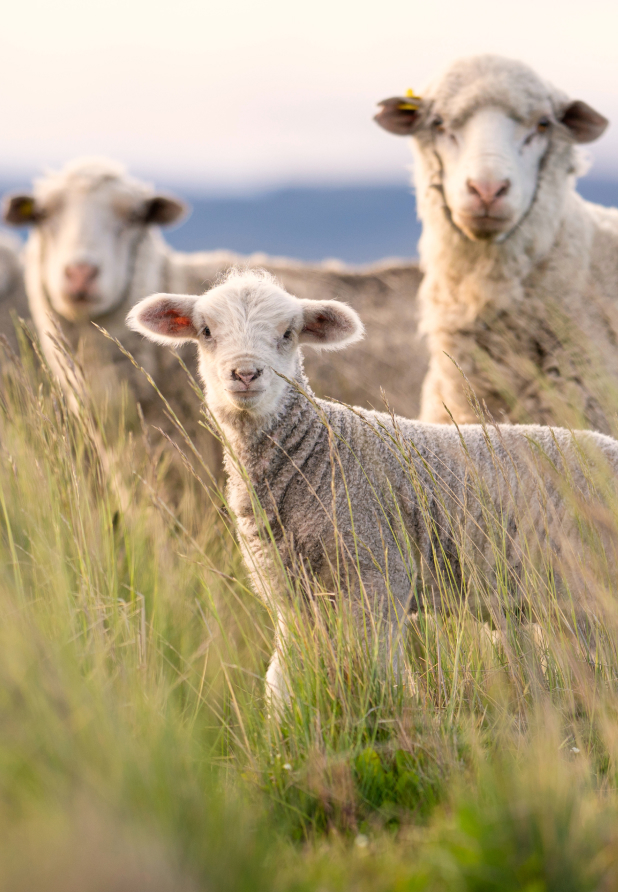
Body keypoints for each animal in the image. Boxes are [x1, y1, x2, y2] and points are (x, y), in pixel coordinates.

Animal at [127, 266, 616, 712]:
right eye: (206, 331)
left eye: (288, 333)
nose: (245, 374)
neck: (316, 453)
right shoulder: (289, 592)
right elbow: (282, 680)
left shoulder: (379, 574)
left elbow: (380, 674)